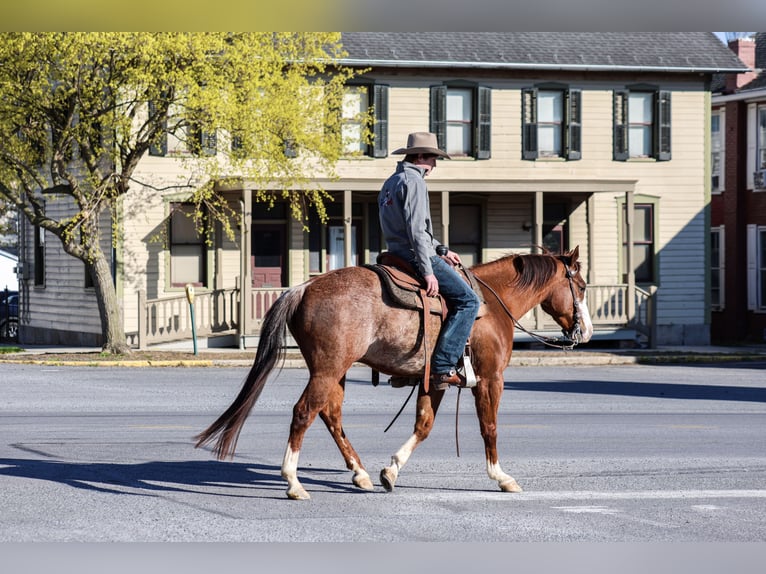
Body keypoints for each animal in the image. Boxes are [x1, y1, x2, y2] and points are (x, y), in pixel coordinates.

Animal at [195, 247, 593, 499]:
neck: (492, 305)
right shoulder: (491, 379)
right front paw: (501, 476)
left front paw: (391, 471)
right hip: (327, 368)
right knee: (304, 412)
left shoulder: (435, 381)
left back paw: (360, 473)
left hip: (334, 371)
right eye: (582, 286)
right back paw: (293, 482)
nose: (586, 332)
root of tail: (305, 286)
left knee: (330, 414)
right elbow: (489, 427)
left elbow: (423, 425)